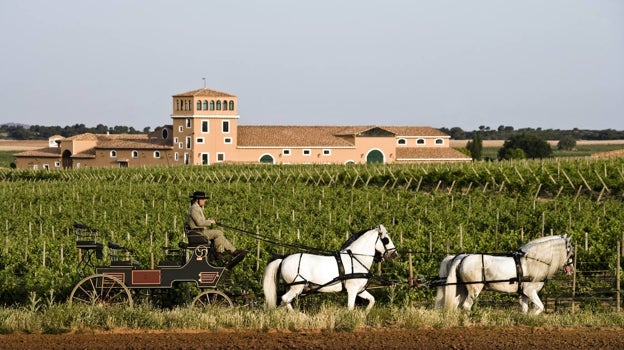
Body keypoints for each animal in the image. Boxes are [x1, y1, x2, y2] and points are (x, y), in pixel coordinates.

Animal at [262, 224, 398, 308]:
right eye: (386, 239)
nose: (395, 254)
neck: (355, 260)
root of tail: (284, 258)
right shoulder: (352, 289)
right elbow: (350, 308)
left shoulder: (360, 290)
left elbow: (372, 300)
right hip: (297, 287)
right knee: (285, 299)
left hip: (293, 287)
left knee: (285, 300)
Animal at [442, 235, 572, 314]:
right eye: (570, 250)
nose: (570, 269)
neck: (533, 261)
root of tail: (463, 257)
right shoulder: (530, 291)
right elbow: (540, 307)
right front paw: (533, 314)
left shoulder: (523, 293)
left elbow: (524, 309)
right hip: (474, 289)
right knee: (466, 306)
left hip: (463, 289)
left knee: (457, 304)